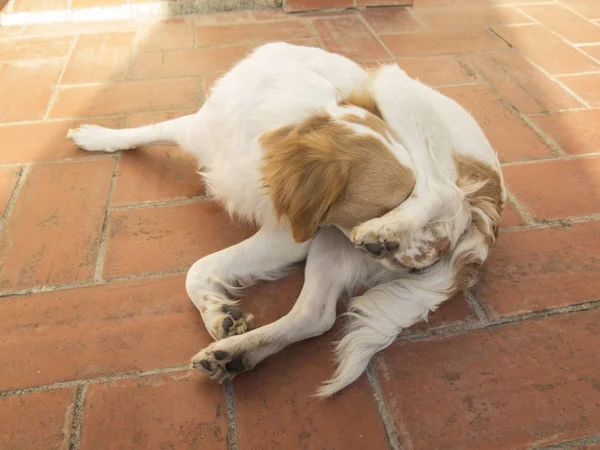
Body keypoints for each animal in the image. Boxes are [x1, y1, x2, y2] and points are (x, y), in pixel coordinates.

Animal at [67, 41, 506, 398]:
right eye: (385, 202)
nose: (434, 255)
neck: (296, 116)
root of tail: (490, 199)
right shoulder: (203, 132)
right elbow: (150, 129)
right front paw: (97, 135)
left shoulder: (290, 233)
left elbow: (197, 267)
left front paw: (215, 311)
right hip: (334, 242)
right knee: (315, 315)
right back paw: (235, 354)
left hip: (395, 90)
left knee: (444, 191)